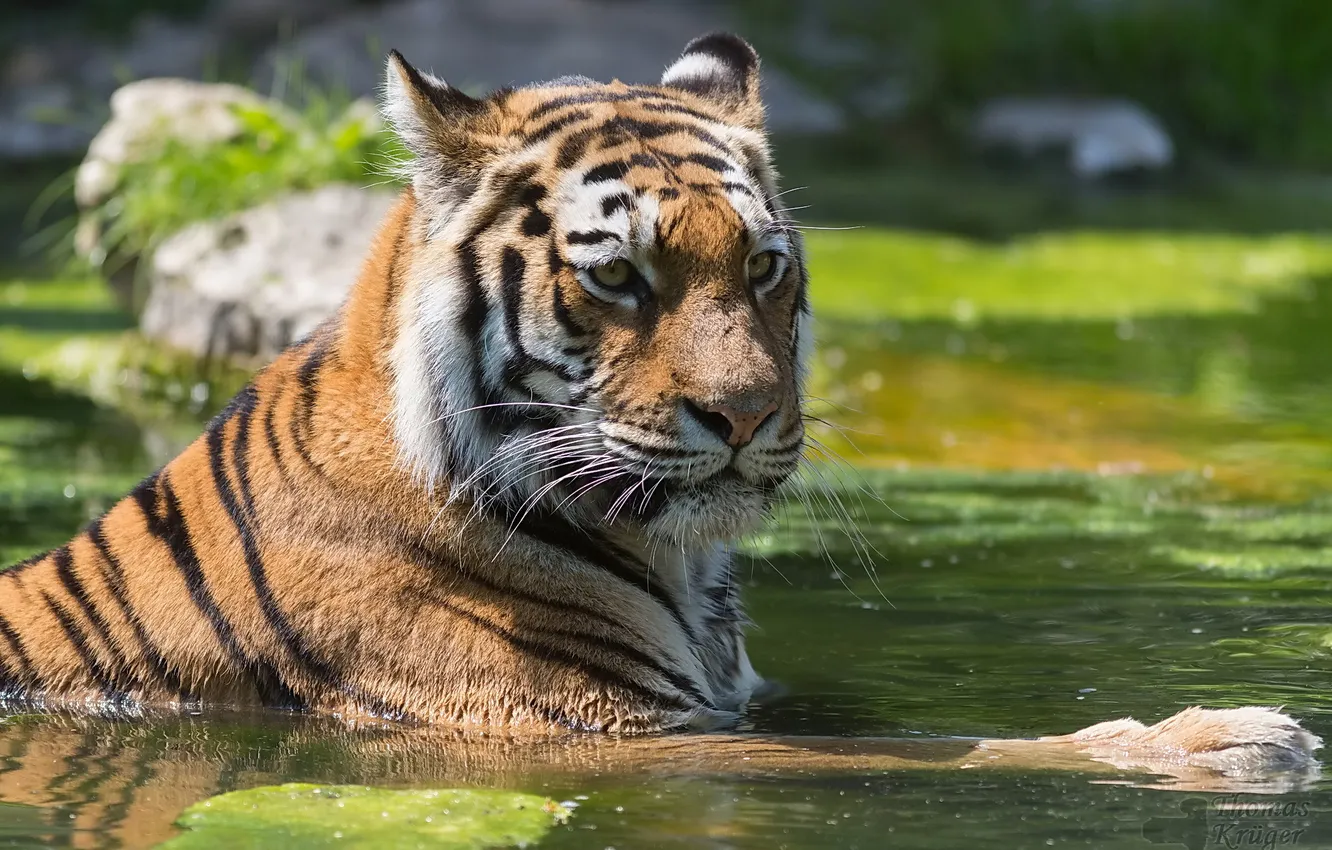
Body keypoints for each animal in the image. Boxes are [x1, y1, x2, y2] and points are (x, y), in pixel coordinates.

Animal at [0, 33, 1318, 775]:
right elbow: (953, 749)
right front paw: (1231, 738)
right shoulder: (600, 729)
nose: (744, 416)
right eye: (619, 276)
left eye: (764, 266)